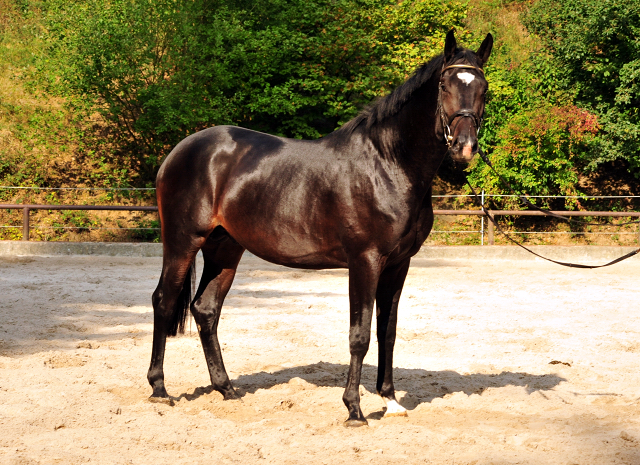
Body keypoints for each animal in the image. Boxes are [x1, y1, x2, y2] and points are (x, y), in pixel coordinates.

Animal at [148, 30, 492, 426]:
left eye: (483, 88)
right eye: (445, 85)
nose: (464, 147)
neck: (388, 163)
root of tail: (180, 151)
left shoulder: (398, 263)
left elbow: (387, 332)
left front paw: (390, 401)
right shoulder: (365, 260)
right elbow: (360, 334)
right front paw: (354, 410)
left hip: (225, 248)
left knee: (205, 309)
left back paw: (226, 389)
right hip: (182, 241)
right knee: (164, 300)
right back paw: (159, 389)